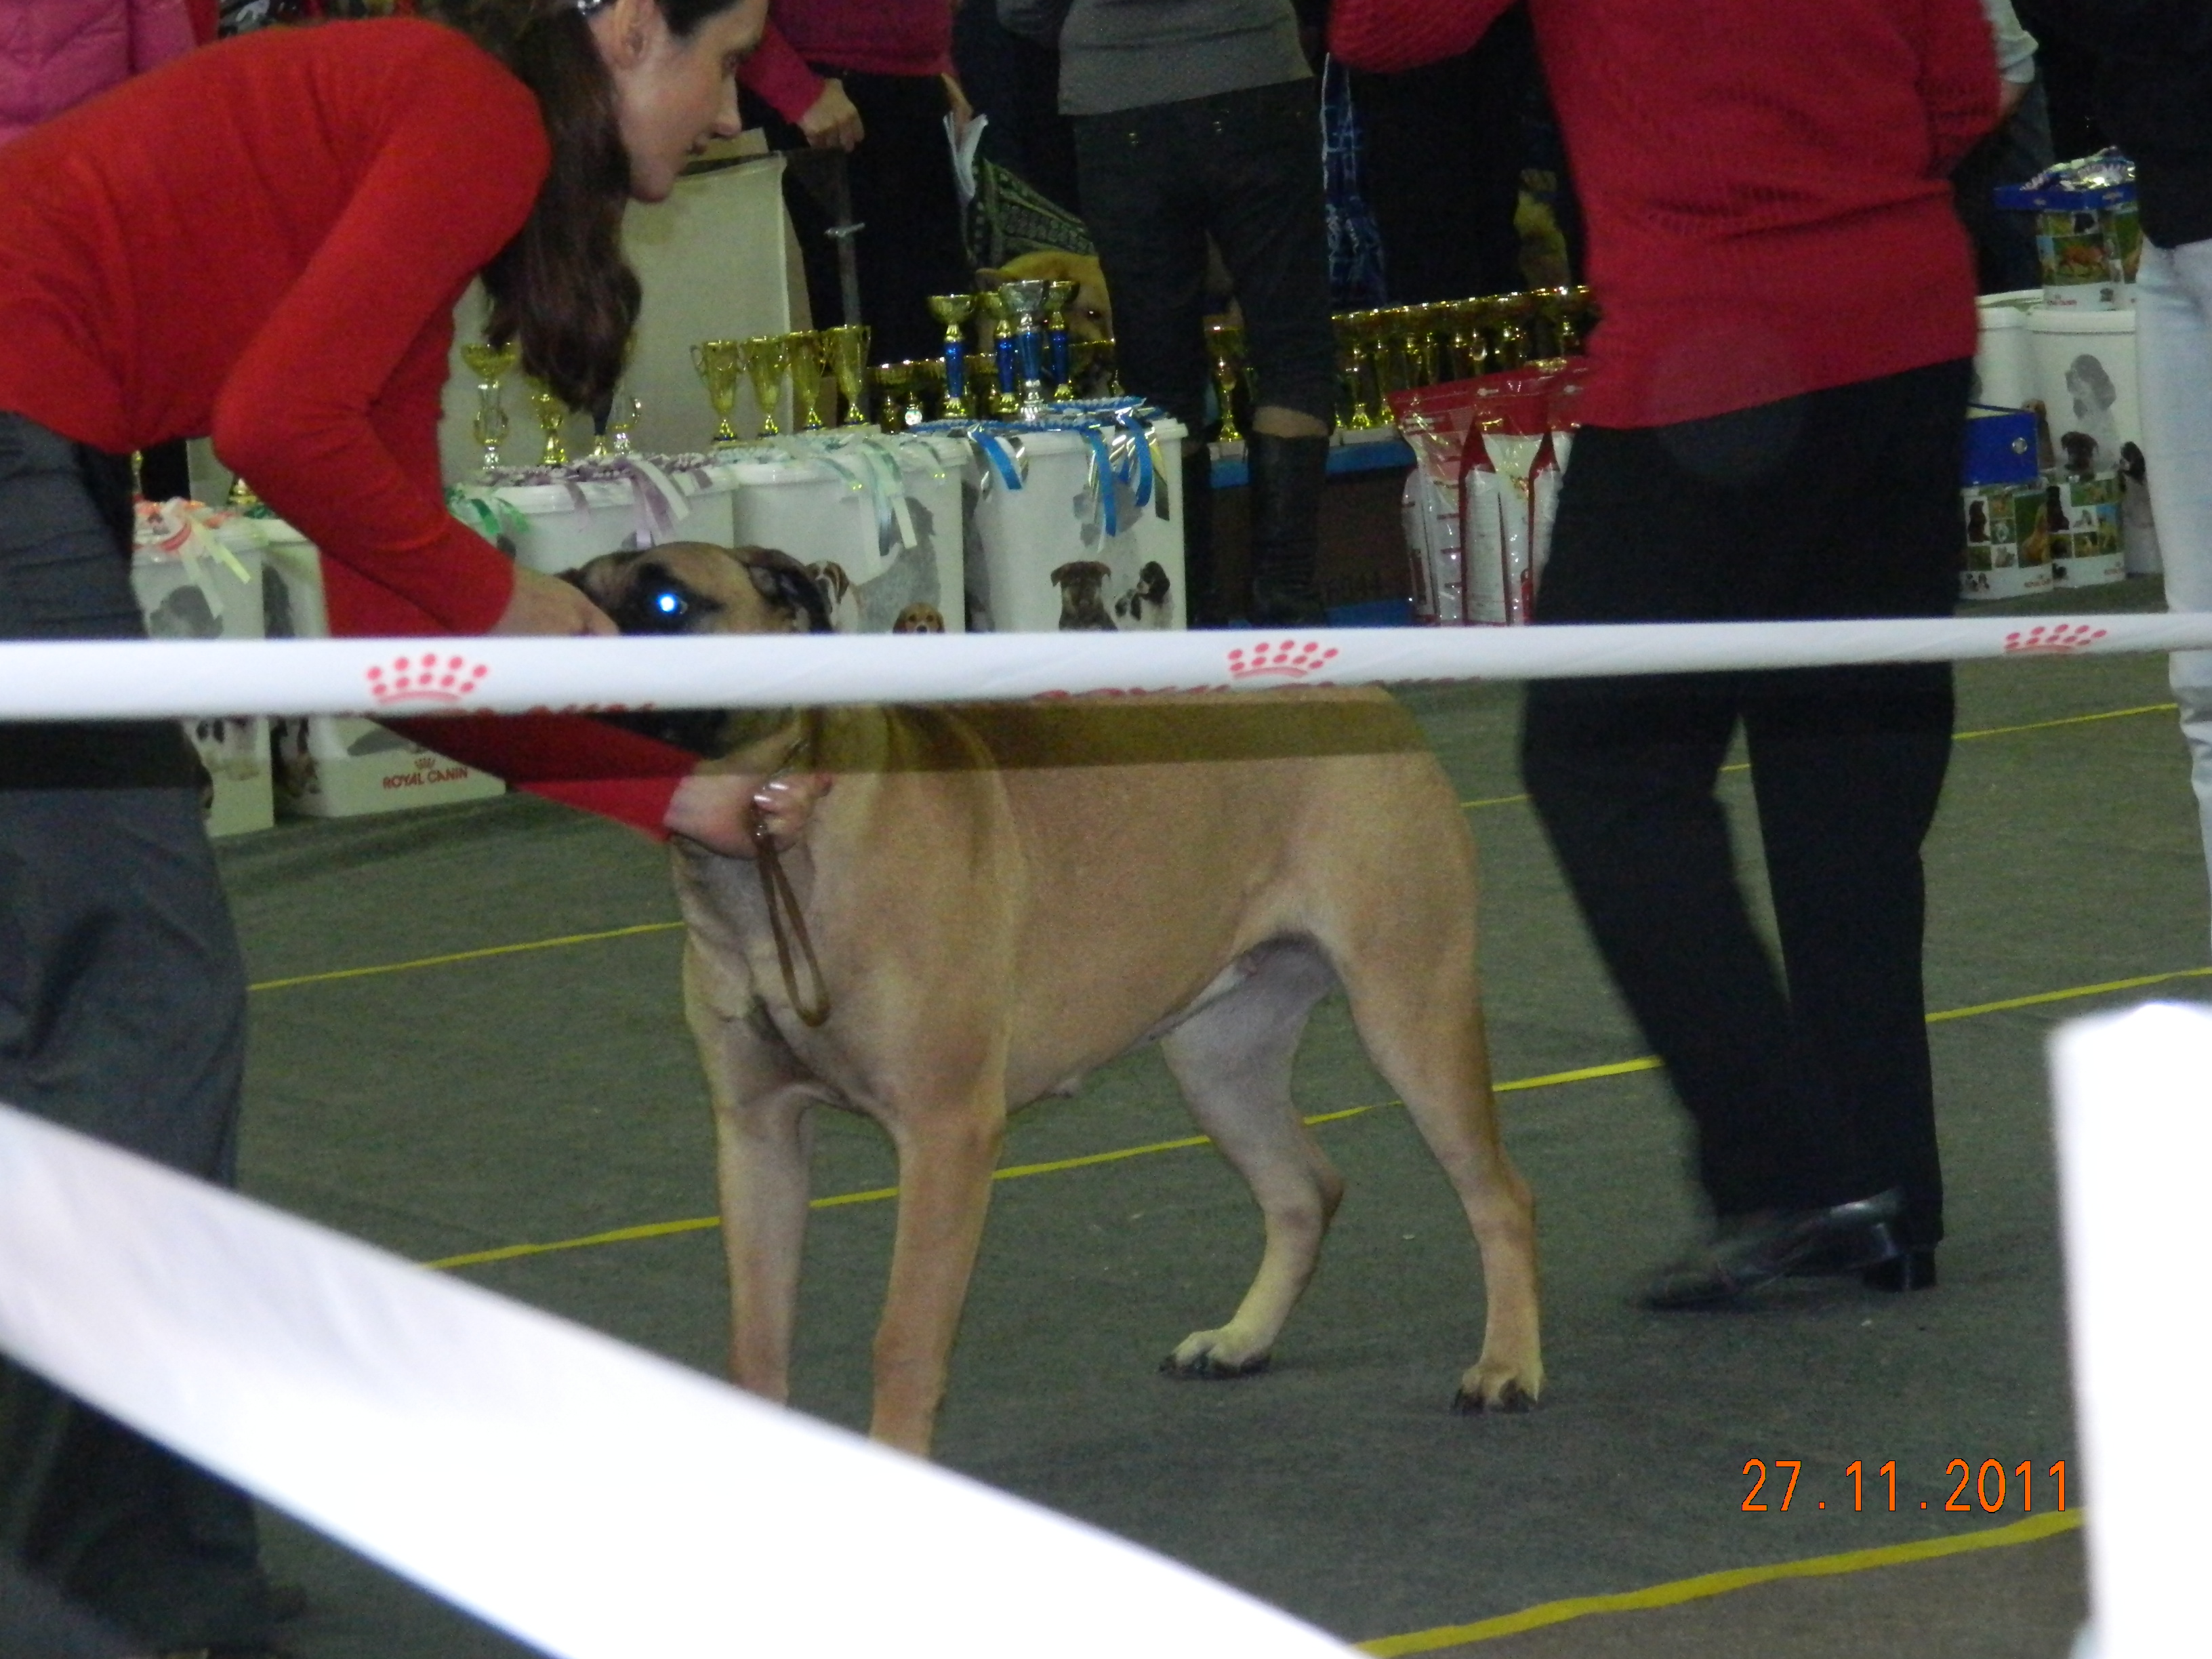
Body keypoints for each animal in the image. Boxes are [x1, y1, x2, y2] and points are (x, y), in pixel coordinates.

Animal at [564, 543, 1544, 1457]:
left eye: (665, 603)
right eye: (571, 587)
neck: (769, 856)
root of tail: (1370, 695)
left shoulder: (945, 1135)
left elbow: (905, 1340)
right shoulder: (757, 1132)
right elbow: (758, 1339)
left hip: (1411, 1008)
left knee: (1498, 1194)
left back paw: (1505, 1365)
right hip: (1220, 1055)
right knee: (1305, 1188)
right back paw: (1240, 1338)